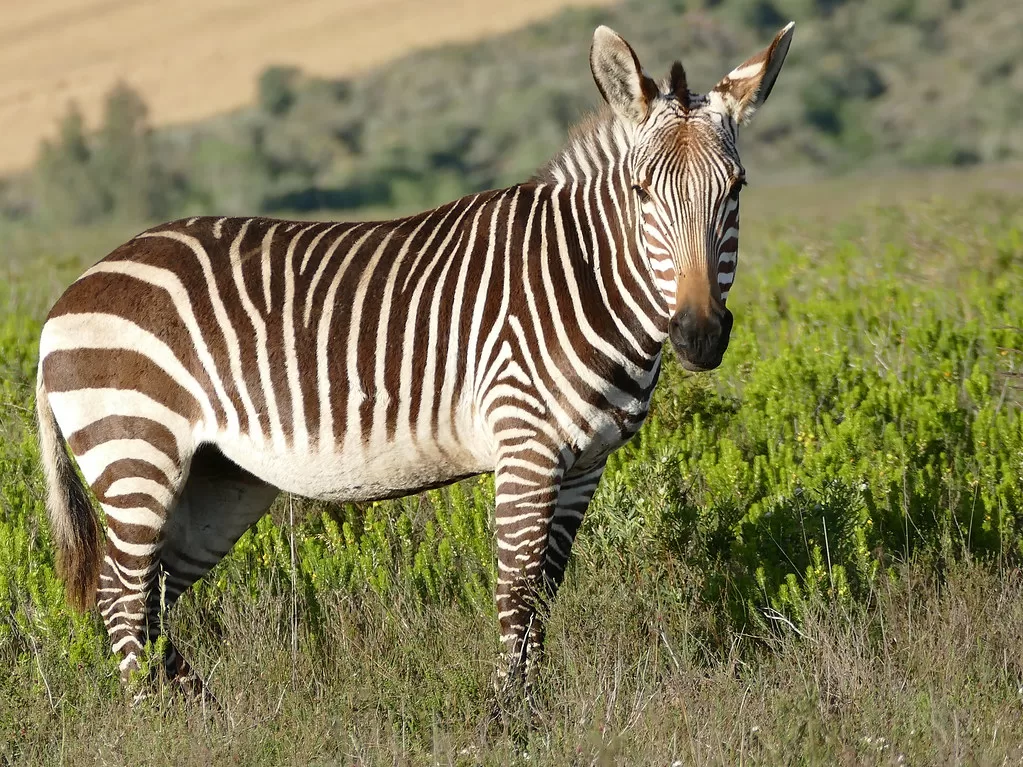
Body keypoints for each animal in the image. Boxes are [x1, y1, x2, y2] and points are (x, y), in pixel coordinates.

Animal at [37, 22, 789, 695]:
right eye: (641, 192)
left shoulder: (584, 463)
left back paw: (203, 716)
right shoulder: (526, 446)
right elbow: (516, 591)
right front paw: (508, 723)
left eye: (737, 188)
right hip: (138, 451)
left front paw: (536, 714)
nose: (698, 335)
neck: (585, 278)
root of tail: (67, 297)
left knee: (153, 594)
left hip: (220, 477)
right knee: (122, 596)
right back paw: (158, 723)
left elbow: (544, 593)